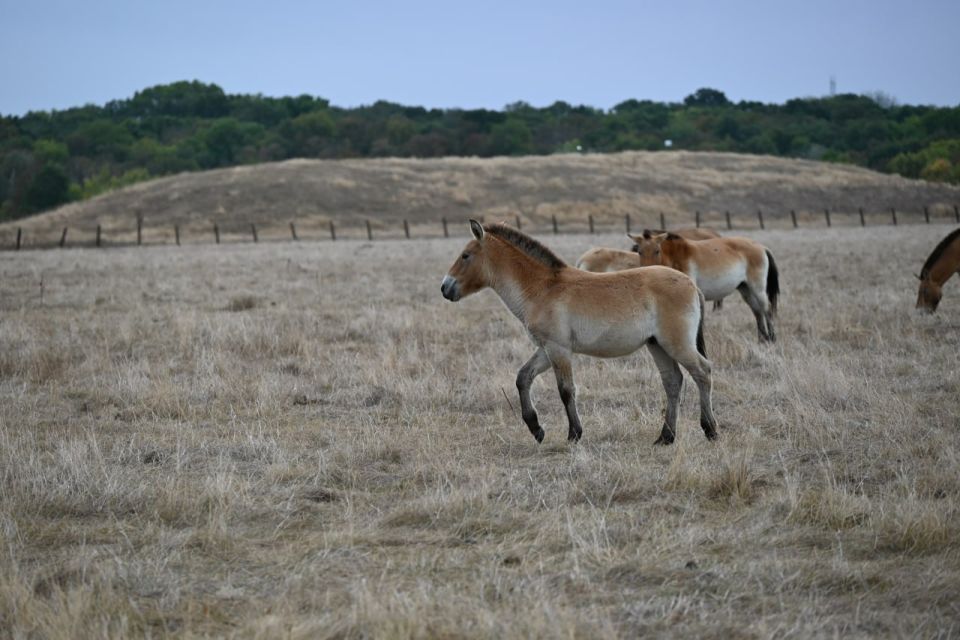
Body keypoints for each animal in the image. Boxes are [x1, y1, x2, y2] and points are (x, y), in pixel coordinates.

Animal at [441, 220, 719, 445]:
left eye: (465, 255)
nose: (445, 288)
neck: (543, 288)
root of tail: (691, 284)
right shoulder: (546, 349)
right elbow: (523, 378)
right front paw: (536, 428)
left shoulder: (559, 349)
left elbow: (566, 390)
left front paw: (574, 434)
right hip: (657, 344)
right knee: (673, 381)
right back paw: (665, 437)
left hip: (677, 344)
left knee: (702, 372)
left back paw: (710, 430)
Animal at [630, 230, 779, 342]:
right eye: (639, 251)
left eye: (657, 251)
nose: (646, 271)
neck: (676, 256)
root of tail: (761, 247)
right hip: (746, 290)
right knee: (757, 311)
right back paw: (762, 340)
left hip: (757, 289)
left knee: (766, 309)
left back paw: (772, 338)